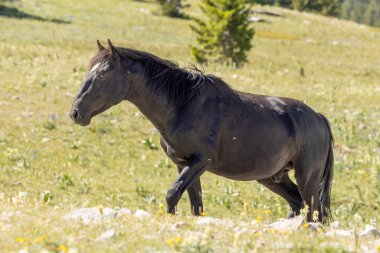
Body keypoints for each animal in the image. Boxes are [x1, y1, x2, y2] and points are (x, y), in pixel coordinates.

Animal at [70, 38, 332, 222]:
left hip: (306, 176)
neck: (184, 106)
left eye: (102, 74)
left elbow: (172, 194)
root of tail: (318, 118)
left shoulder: (201, 161)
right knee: (298, 204)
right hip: (273, 176)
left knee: (312, 209)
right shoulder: (184, 164)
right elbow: (195, 204)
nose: (75, 112)